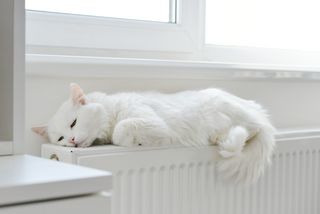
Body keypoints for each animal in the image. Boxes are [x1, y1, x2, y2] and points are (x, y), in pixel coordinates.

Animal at [33, 83, 276, 182]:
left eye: (74, 123)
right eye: (60, 138)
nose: (72, 140)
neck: (113, 107)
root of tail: (260, 113)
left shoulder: (151, 123)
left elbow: (122, 130)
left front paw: (136, 142)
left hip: (227, 112)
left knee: (252, 130)